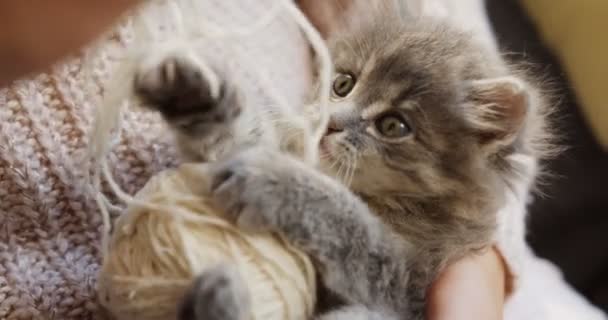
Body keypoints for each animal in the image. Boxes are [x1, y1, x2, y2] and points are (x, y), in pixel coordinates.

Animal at [133, 1, 552, 318]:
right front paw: (195, 97)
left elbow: (352, 226)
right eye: (343, 84)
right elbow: (240, 138)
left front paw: (276, 184)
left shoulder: (409, 283)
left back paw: (218, 297)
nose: (331, 123)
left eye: (393, 125)